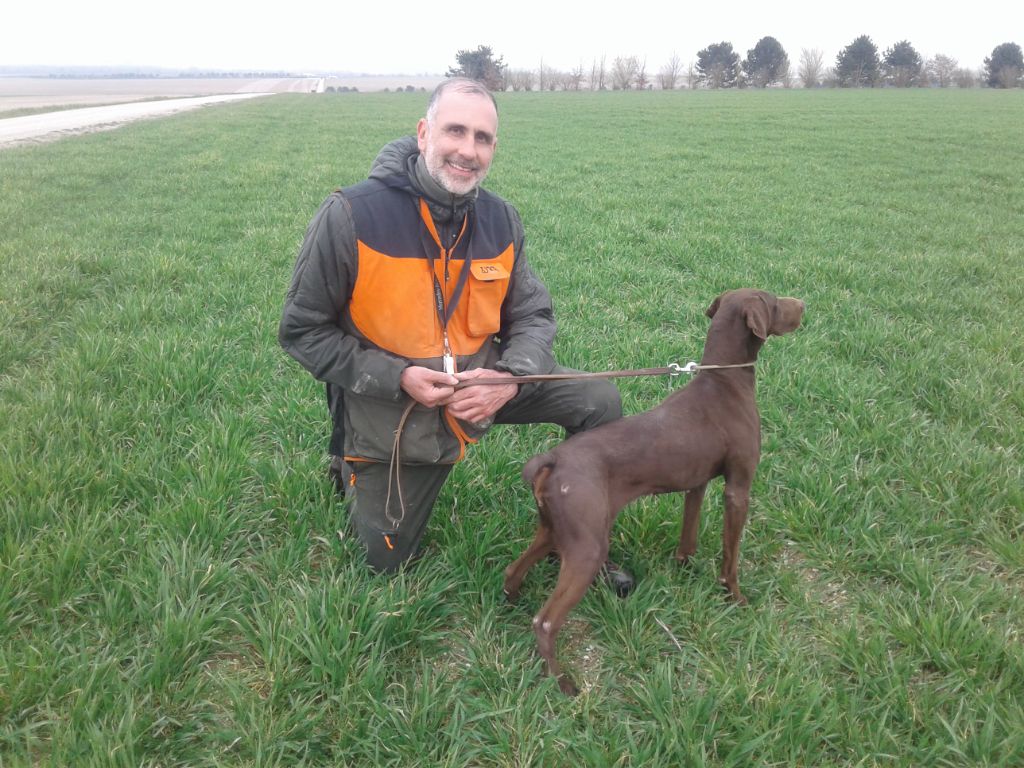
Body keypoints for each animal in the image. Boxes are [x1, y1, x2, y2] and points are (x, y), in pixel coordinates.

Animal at [502, 288, 805, 695]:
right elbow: (730, 557)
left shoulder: (696, 483)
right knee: (546, 621)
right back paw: (562, 681)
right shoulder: (738, 489)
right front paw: (735, 598)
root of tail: (551, 459)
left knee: (513, 571)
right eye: (773, 302)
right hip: (586, 548)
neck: (723, 382)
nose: (803, 305)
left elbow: (689, 533)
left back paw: (511, 607)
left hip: (553, 530)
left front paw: (685, 567)